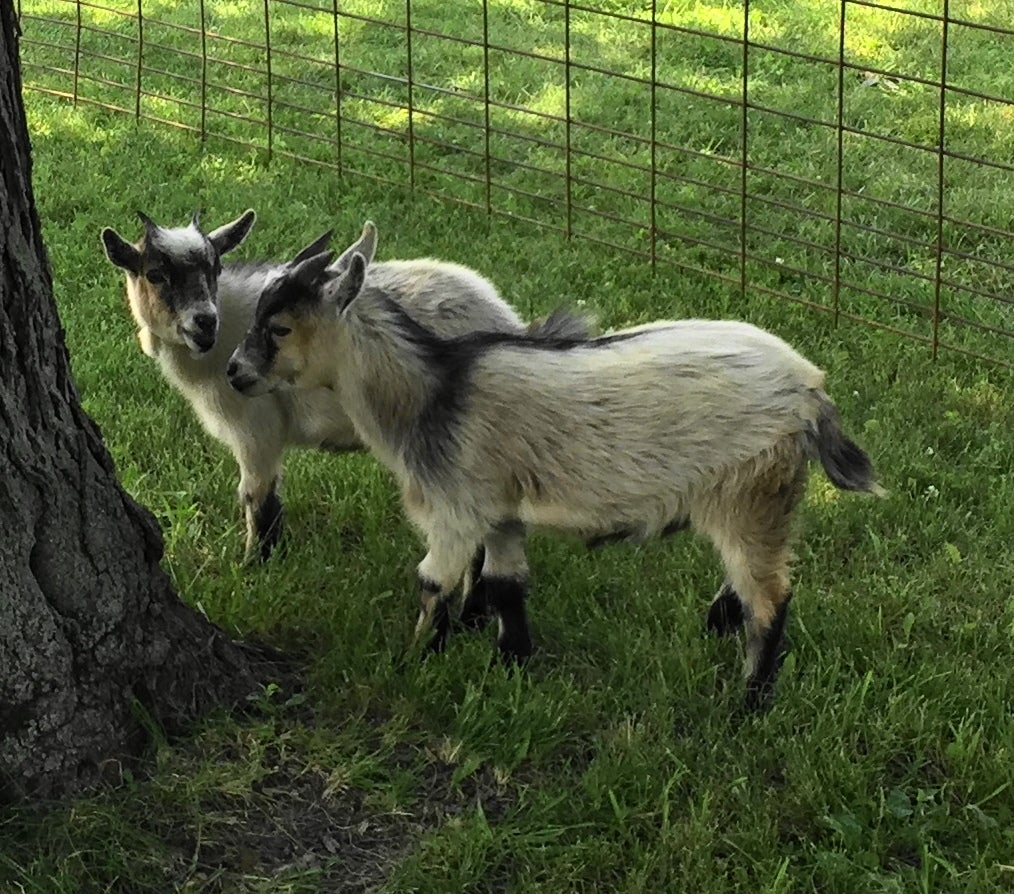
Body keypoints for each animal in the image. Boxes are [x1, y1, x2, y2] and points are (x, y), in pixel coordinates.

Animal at [101, 213, 572, 562]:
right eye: (155, 274)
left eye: (215, 269)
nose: (204, 323)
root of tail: (508, 323)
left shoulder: (256, 430)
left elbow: (255, 498)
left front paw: (254, 563)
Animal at [229, 242, 882, 708]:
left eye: (279, 327)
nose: (235, 372)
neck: (433, 394)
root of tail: (810, 390)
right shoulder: (501, 515)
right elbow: (505, 585)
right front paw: (512, 663)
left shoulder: (455, 511)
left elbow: (433, 583)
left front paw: (416, 661)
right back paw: (718, 625)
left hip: (751, 492)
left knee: (771, 597)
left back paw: (748, 702)